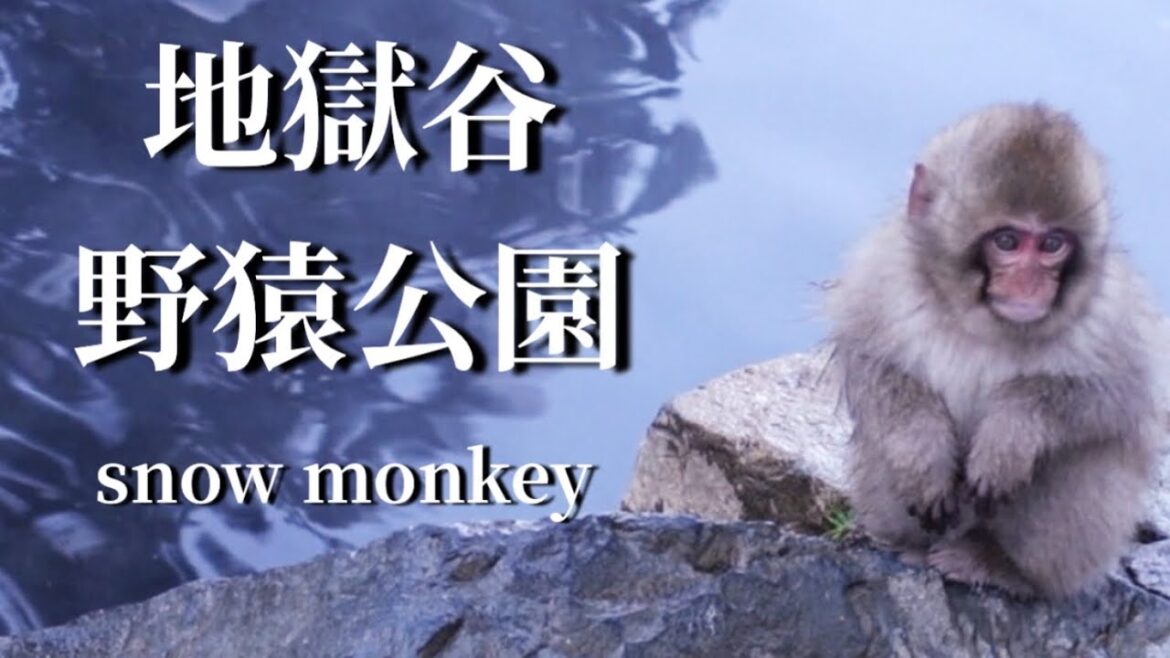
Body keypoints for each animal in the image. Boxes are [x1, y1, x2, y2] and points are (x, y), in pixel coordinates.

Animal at [826, 103, 1166, 598]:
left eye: (1051, 244)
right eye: (1007, 241)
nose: (1029, 283)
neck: (984, 323)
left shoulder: (1114, 313)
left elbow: (1118, 398)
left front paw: (1011, 433)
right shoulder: (882, 273)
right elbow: (872, 364)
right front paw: (924, 454)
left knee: (1080, 457)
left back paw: (1003, 566)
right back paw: (907, 544)